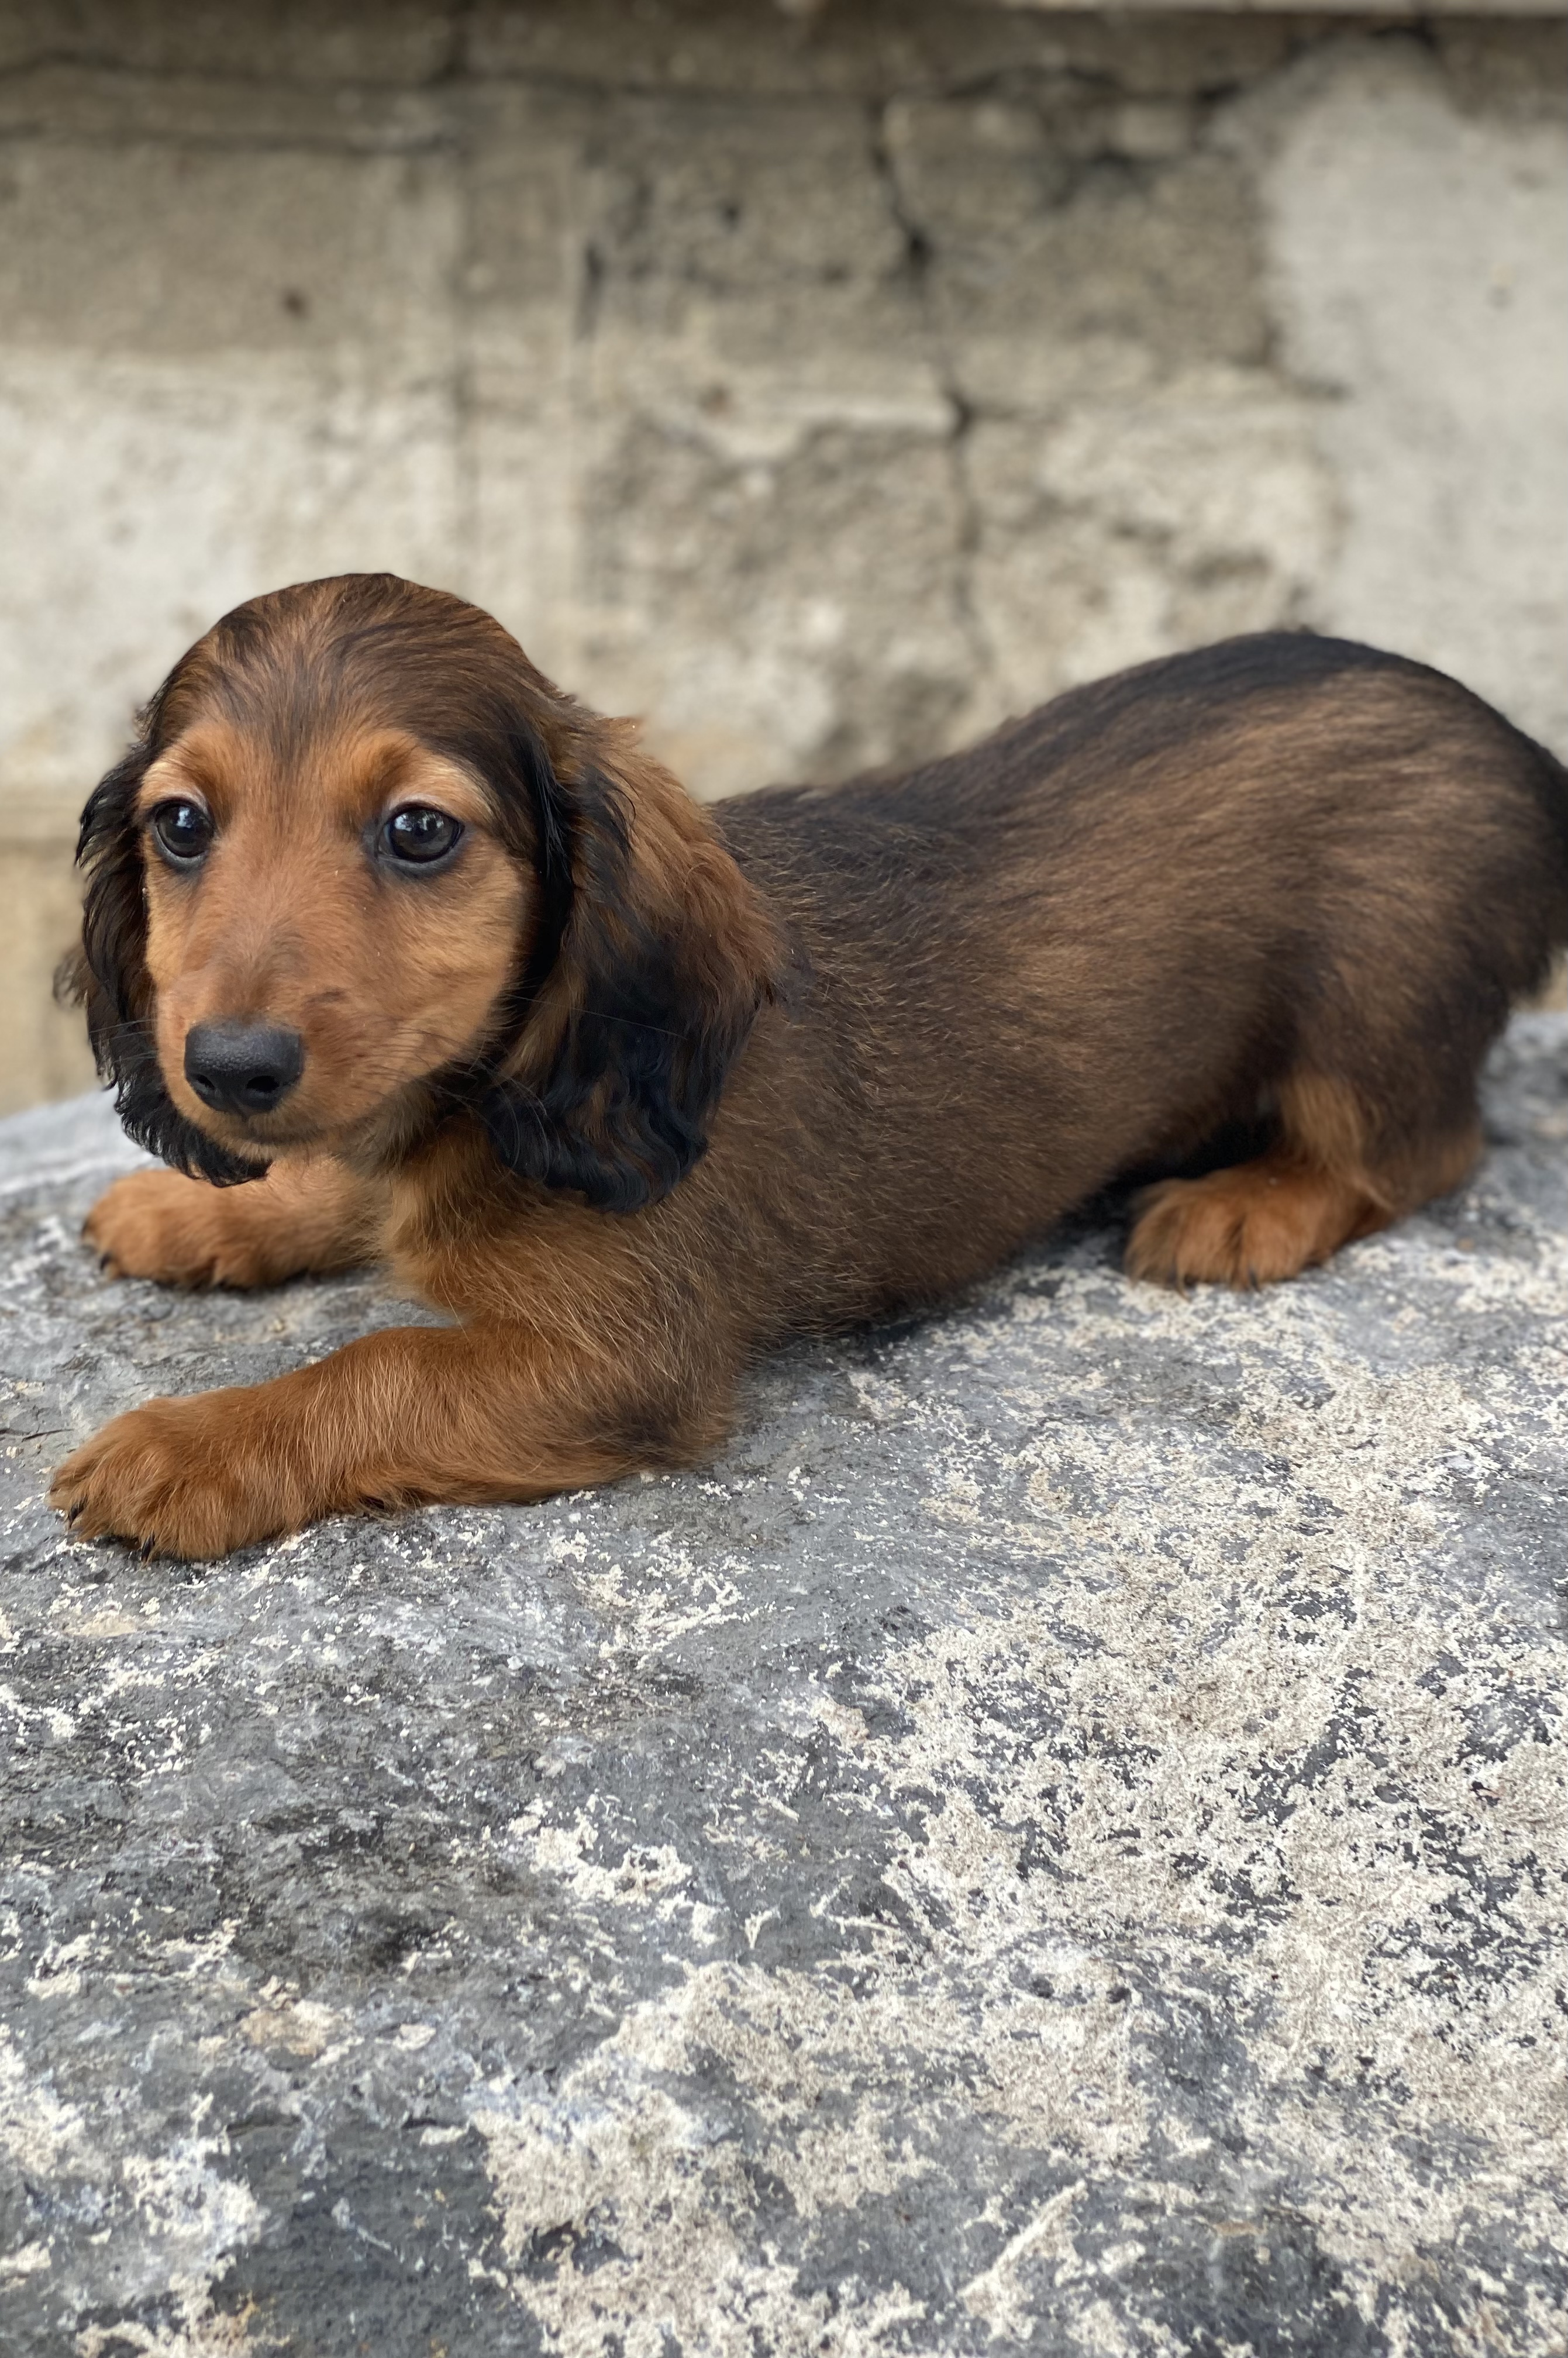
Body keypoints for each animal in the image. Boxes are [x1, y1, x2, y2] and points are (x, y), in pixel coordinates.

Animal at [49, 577, 1565, 1556]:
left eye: (420, 832)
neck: (494, 1094)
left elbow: (370, 1370)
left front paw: (189, 1448)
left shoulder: (621, 1358)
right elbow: (332, 1194)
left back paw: (1250, 1204)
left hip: (1373, 999)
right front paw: (205, 1207)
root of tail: (1513, 747)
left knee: (1420, 1147)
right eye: (181, 826)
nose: (230, 1068)